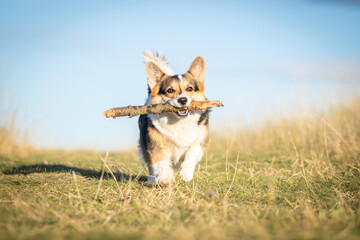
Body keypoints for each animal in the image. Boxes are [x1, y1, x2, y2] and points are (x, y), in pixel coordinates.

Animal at [139, 51, 211, 185]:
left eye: (189, 88)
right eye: (170, 90)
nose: (182, 100)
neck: (179, 122)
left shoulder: (199, 141)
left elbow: (191, 155)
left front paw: (186, 174)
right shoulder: (156, 145)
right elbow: (161, 162)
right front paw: (166, 177)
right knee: (150, 164)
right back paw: (152, 179)